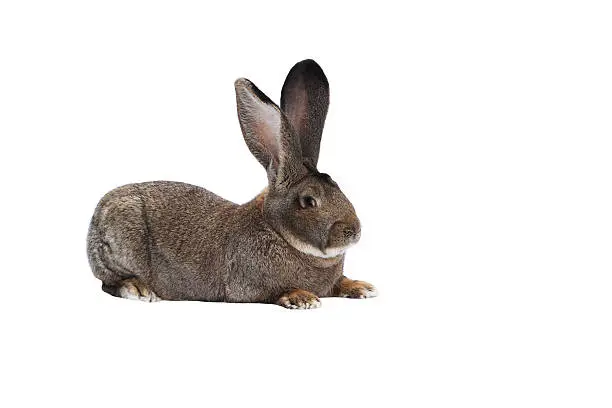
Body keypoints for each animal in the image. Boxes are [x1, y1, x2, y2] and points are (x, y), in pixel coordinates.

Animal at [83, 59, 376, 310]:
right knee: (110, 282)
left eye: (339, 188)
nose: (354, 231)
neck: (277, 231)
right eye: (308, 201)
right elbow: (274, 291)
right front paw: (302, 298)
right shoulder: (249, 284)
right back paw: (138, 289)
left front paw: (362, 287)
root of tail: (98, 213)